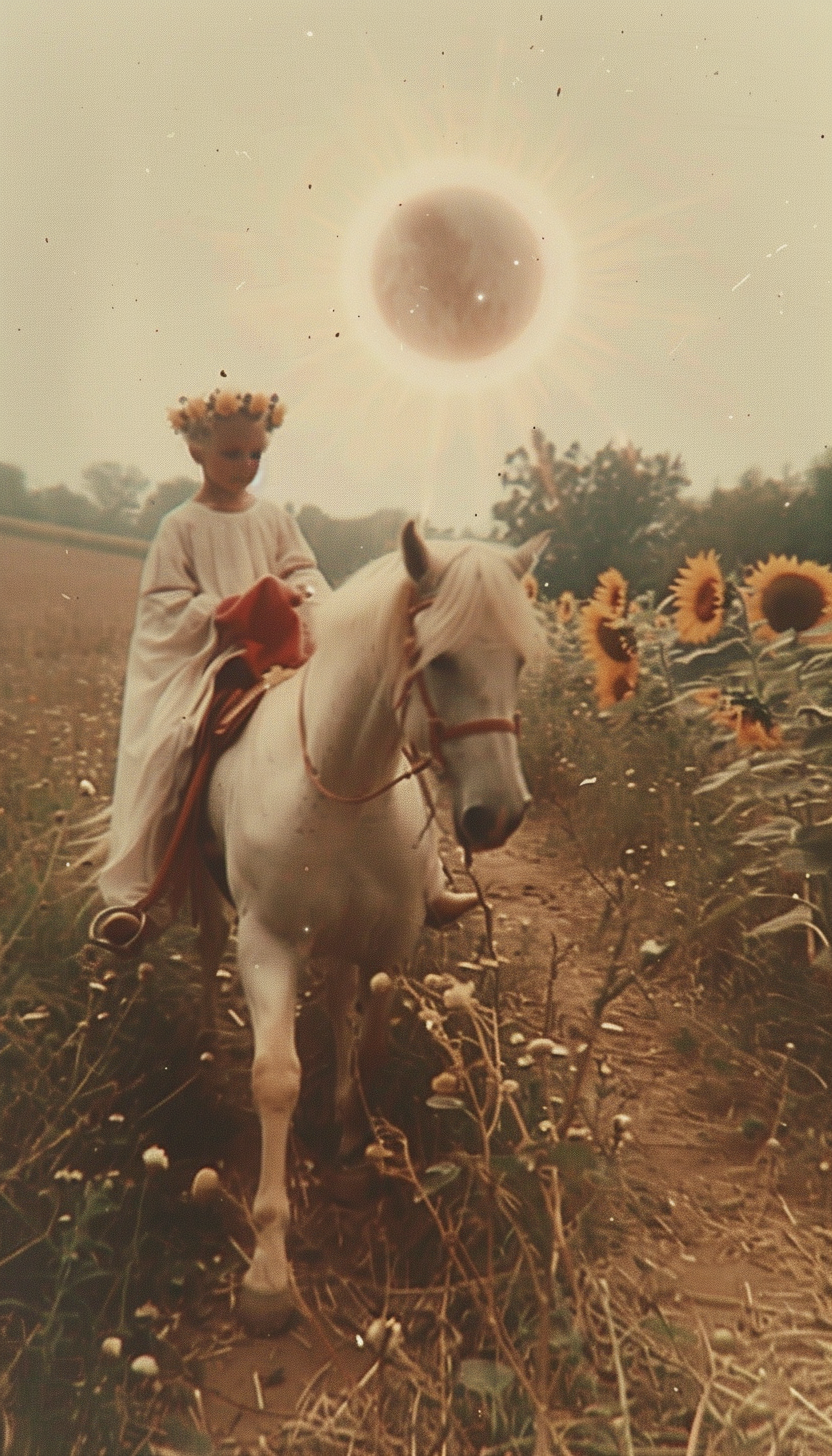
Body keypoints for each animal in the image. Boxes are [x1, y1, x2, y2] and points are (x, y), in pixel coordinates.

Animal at [198, 521, 544, 1333]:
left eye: (517, 661)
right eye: (440, 659)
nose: (499, 813)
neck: (339, 787)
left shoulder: (389, 943)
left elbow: (372, 1044)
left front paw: (356, 1151)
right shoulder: (266, 946)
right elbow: (276, 1078)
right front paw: (268, 1274)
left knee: (336, 1006)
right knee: (203, 953)